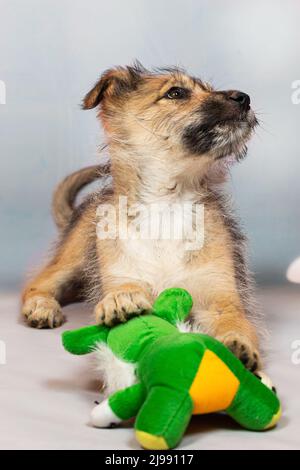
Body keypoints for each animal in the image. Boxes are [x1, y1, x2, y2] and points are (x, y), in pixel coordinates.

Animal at [21, 64, 262, 370]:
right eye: (176, 93)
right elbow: (123, 286)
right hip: (71, 258)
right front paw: (121, 298)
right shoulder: (120, 268)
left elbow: (234, 321)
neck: (166, 206)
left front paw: (234, 346)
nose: (245, 98)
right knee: (38, 284)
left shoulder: (220, 296)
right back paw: (41, 307)